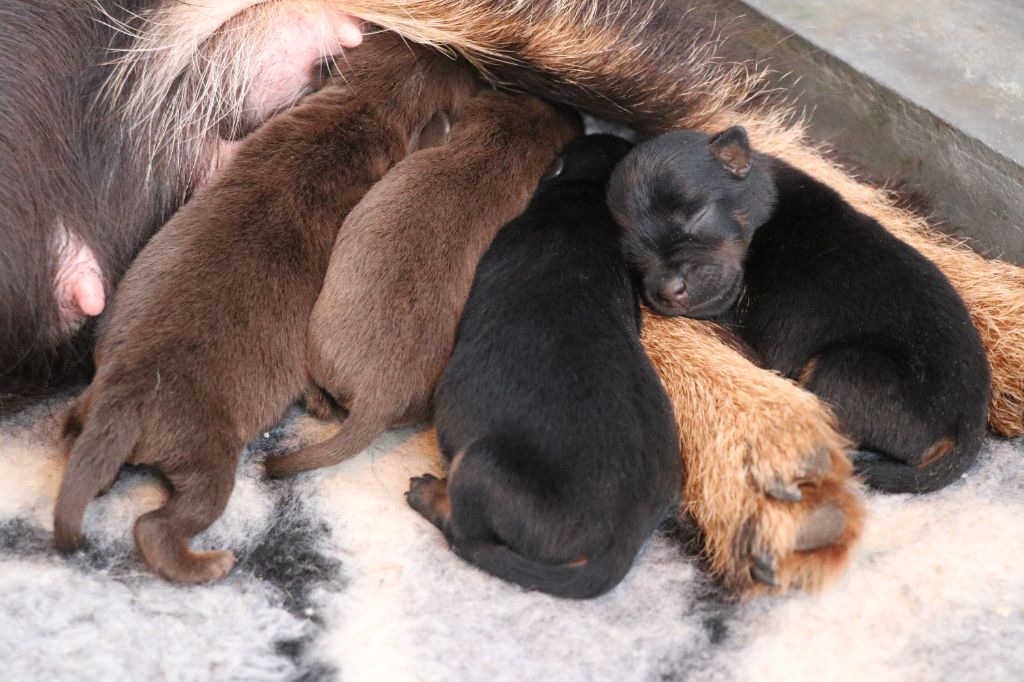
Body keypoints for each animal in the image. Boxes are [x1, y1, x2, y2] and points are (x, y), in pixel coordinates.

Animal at [51, 34, 475, 581]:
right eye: (457, 72)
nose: (466, 58)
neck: (362, 107)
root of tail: (121, 406)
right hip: (206, 457)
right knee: (157, 526)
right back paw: (209, 563)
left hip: (90, 406)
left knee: (73, 435)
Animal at [606, 124, 991, 491]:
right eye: (631, 252)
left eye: (697, 215)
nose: (669, 289)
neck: (761, 218)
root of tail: (968, 425)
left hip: (842, 367)